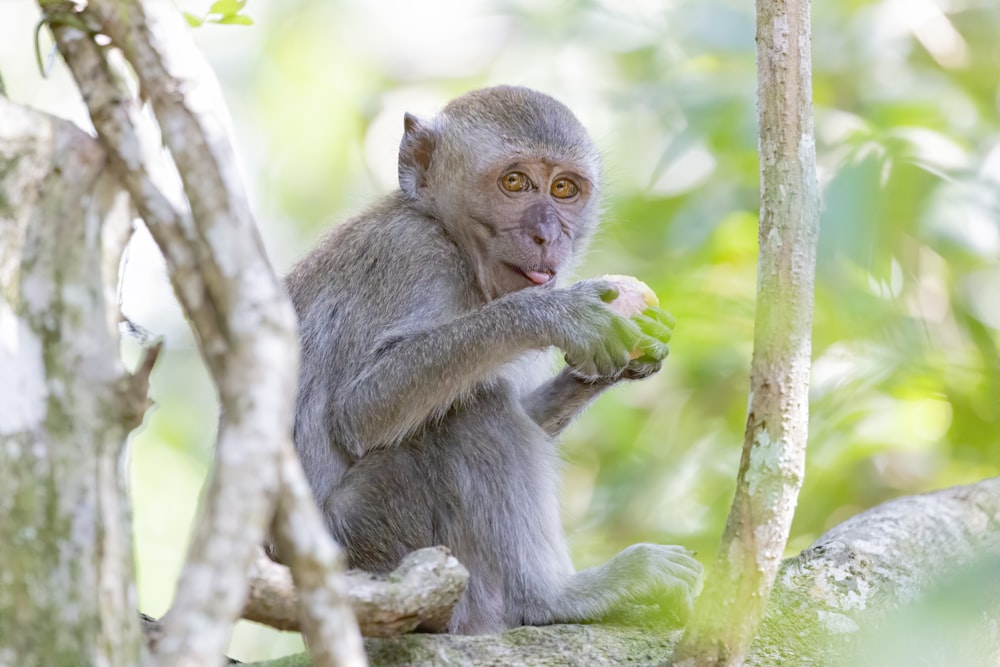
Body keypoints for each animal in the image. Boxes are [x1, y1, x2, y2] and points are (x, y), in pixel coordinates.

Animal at [284, 85, 704, 636]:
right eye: (514, 182)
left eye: (564, 188)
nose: (548, 234)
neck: (448, 234)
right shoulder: (415, 256)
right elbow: (359, 411)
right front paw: (556, 314)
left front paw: (615, 366)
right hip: (379, 546)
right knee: (471, 410)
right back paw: (552, 598)